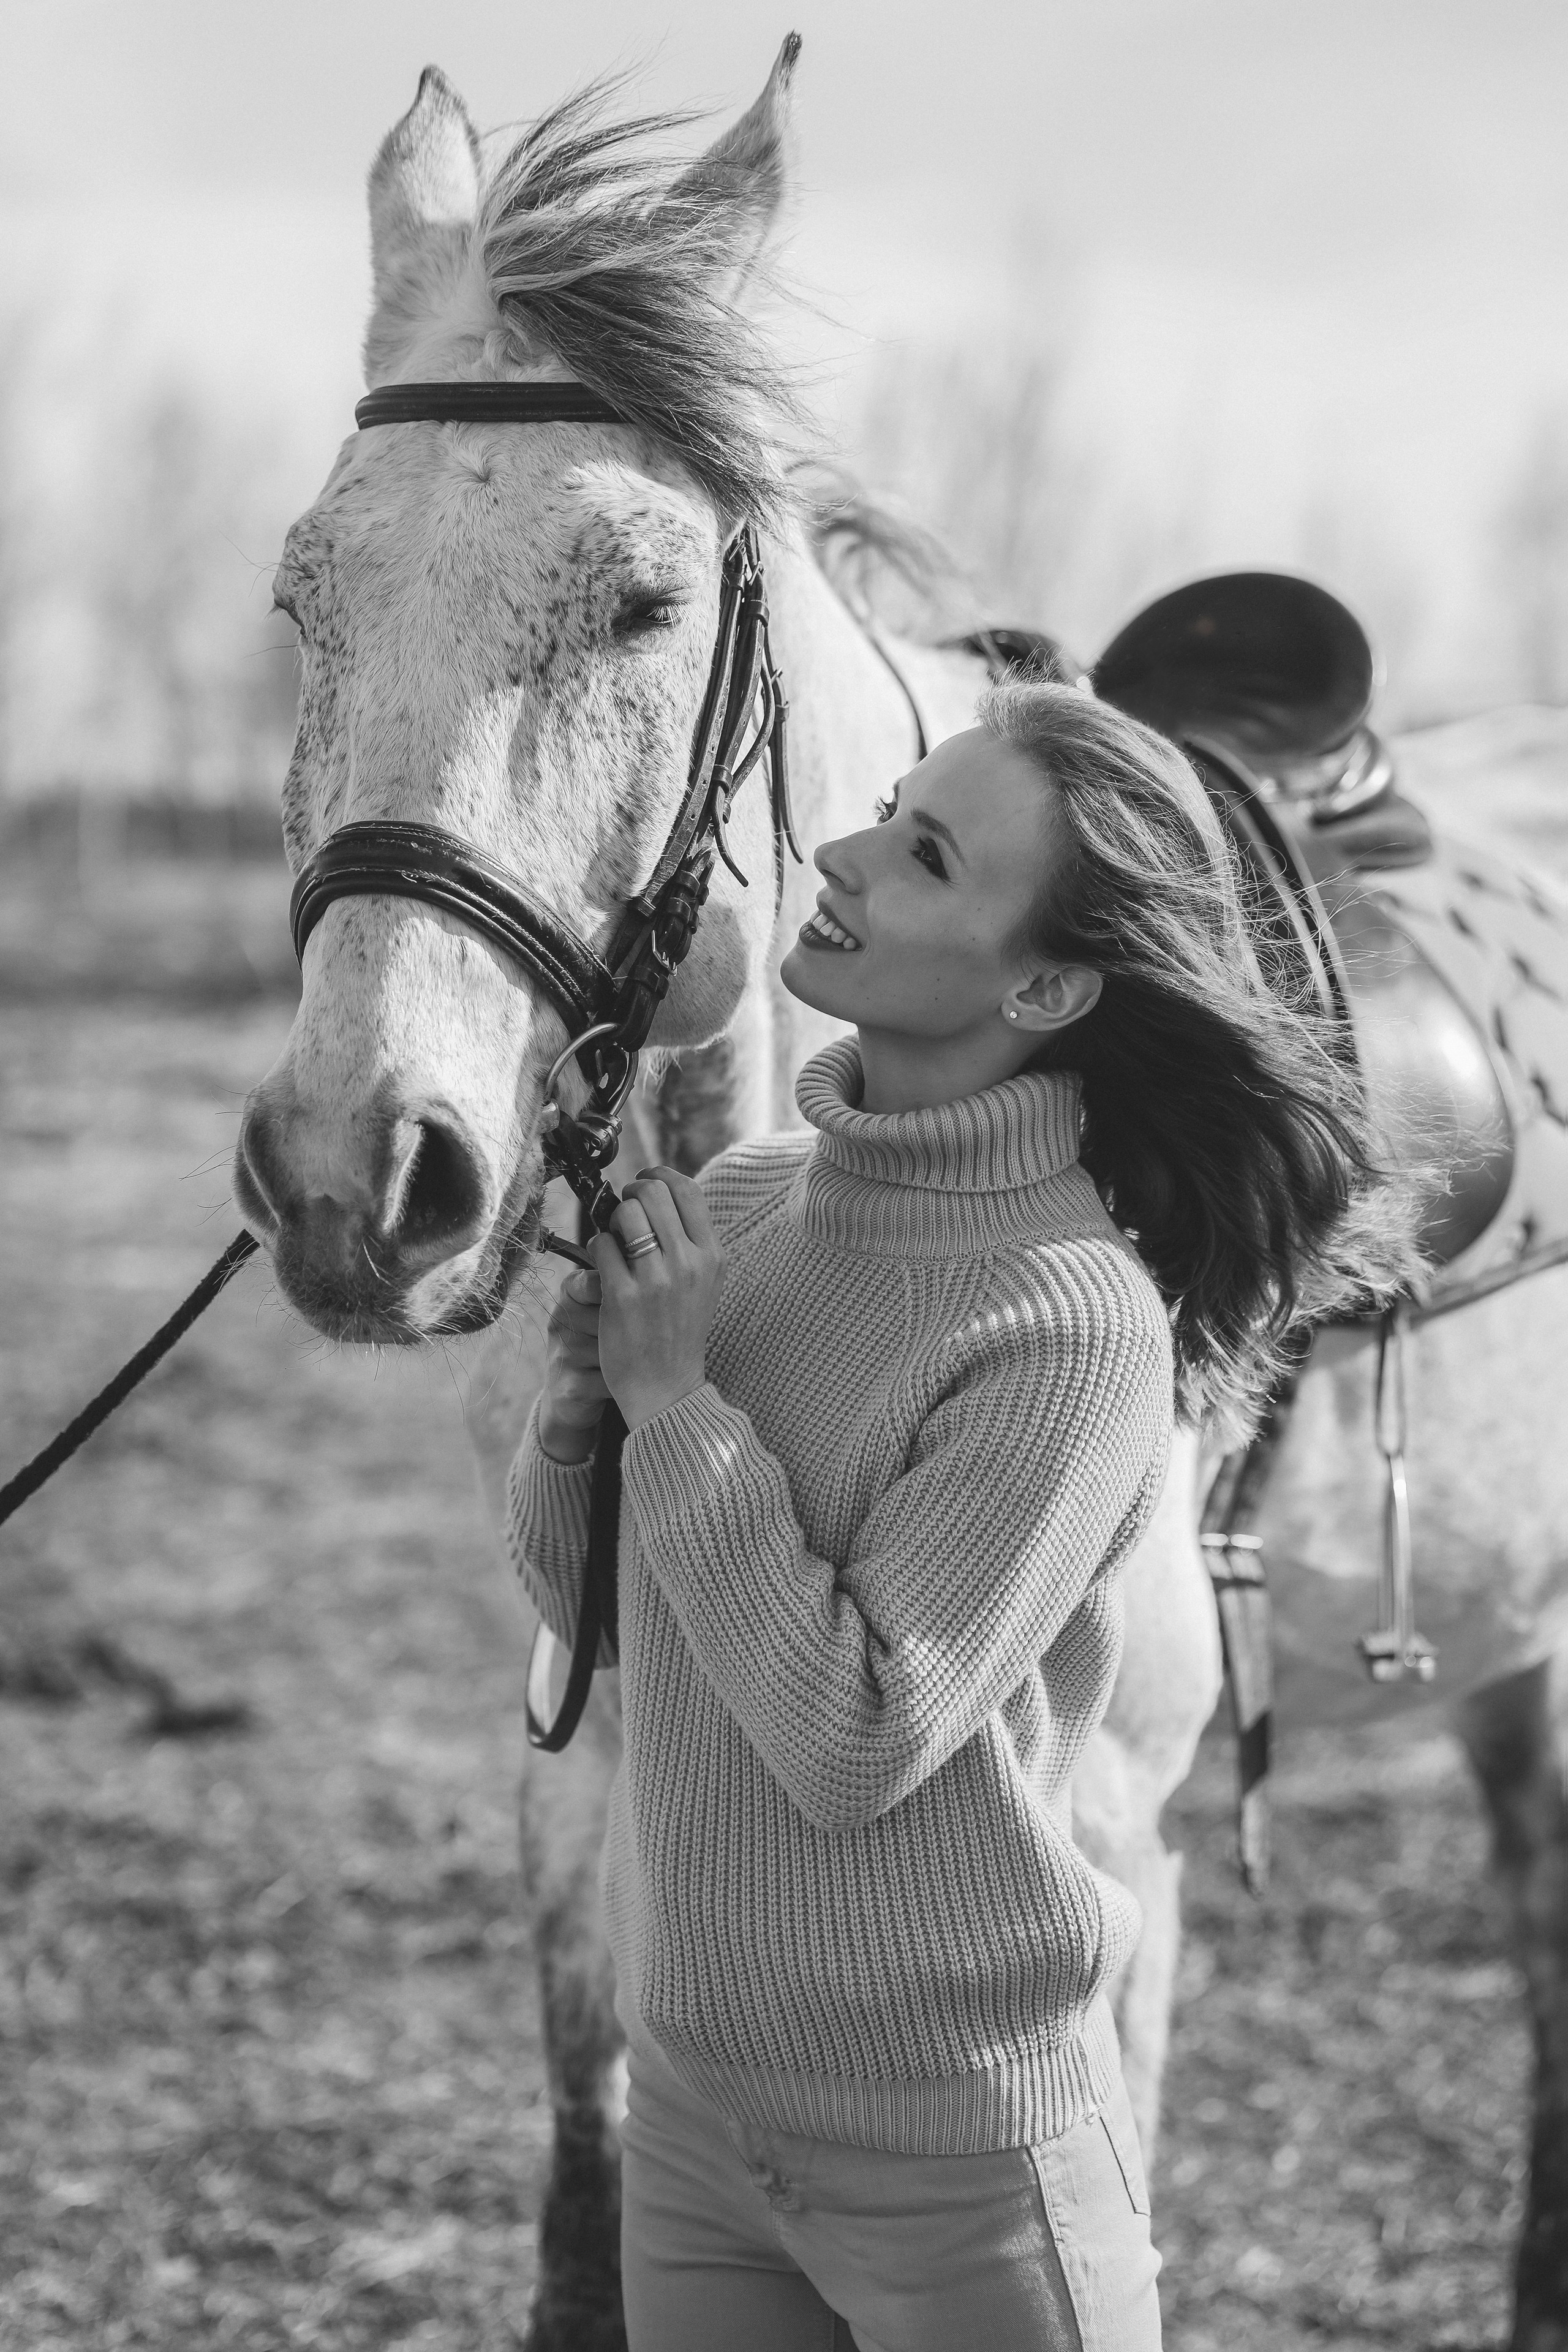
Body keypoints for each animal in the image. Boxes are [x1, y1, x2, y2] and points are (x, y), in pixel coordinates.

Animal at [232, 46, 1568, 2352]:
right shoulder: (581, 1748)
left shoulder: (1114, 1839)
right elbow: (590, 2198)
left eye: (646, 602)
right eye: (306, 595)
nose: (352, 1175)